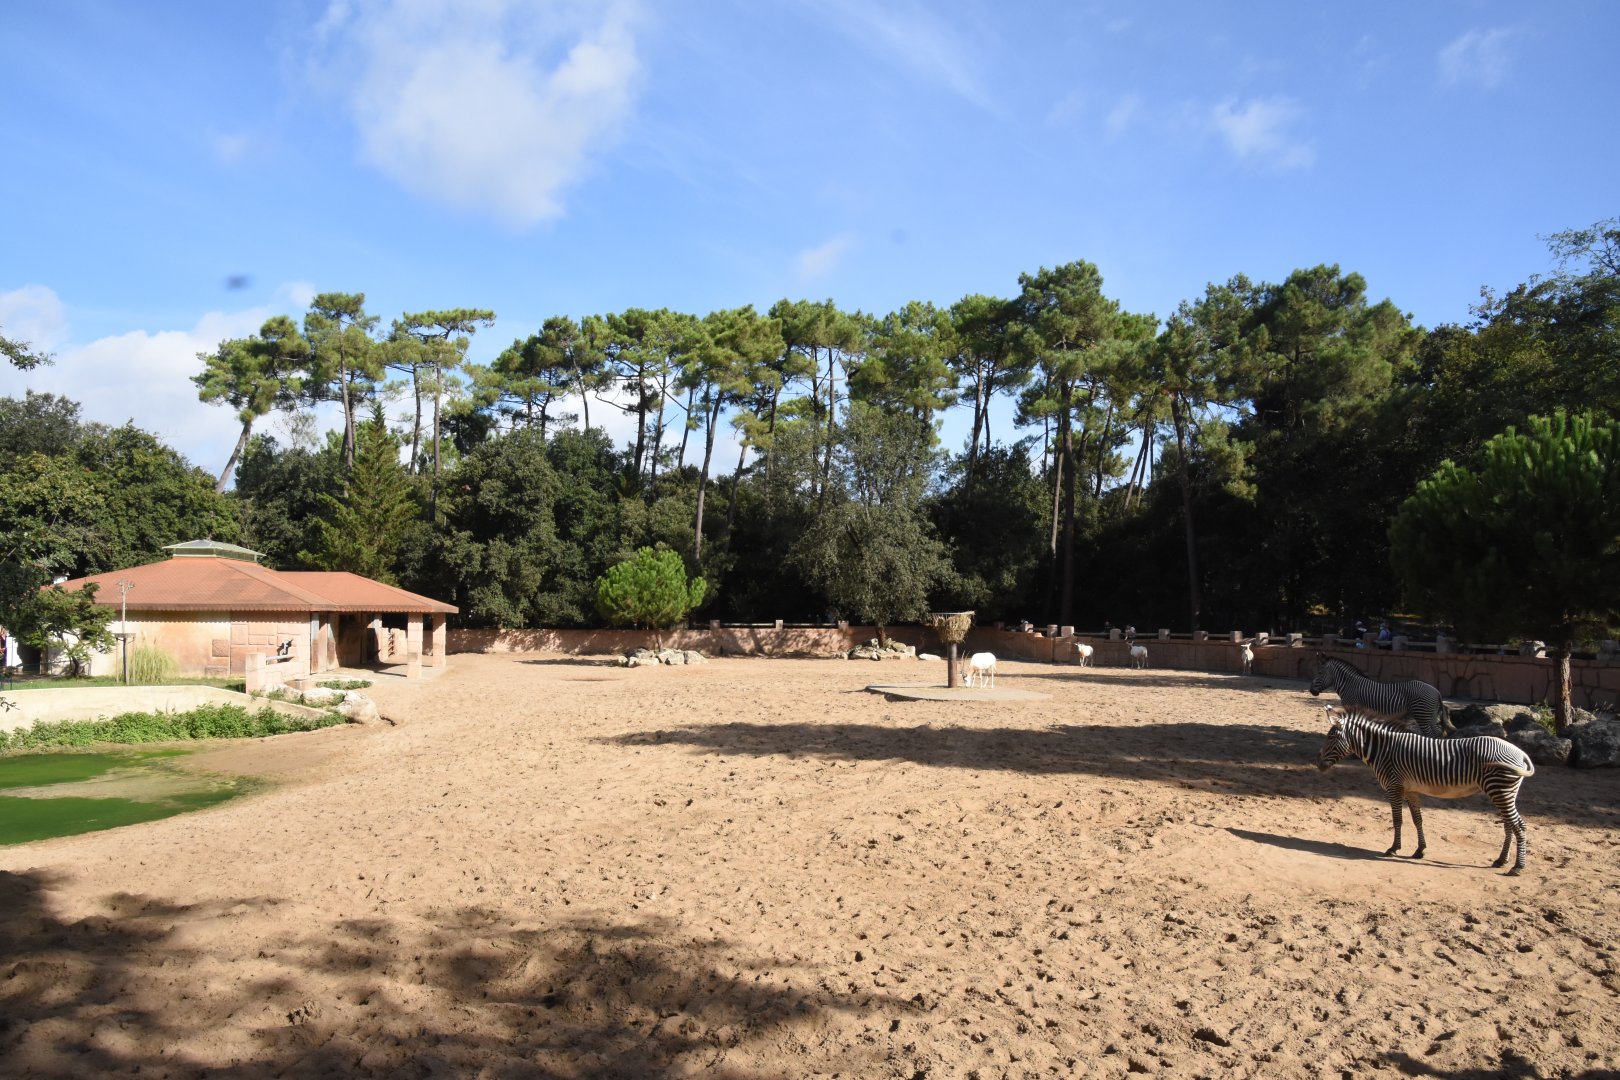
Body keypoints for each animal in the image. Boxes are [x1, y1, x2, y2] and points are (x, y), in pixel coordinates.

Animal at [1308, 653, 1451, 738]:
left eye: (1320, 673)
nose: (1311, 690)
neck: (1349, 685)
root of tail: (1436, 691)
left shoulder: (1352, 707)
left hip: (1422, 714)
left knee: (1432, 734)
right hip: (1430, 715)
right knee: (1438, 733)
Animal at [1315, 709, 1535, 874]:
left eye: (1331, 736)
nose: (1318, 765)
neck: (1383, 751)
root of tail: (1520, 752)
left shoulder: (1394, 787)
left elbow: (1397, 820)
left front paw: (1394, 848)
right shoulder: (1411, 790)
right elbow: (1417, 819)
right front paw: (1420, 850)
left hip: (1500, 789)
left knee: (1519, 825)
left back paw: (1517, 867)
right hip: (1503, 791)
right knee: (1509, 824)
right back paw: (1501, 860)